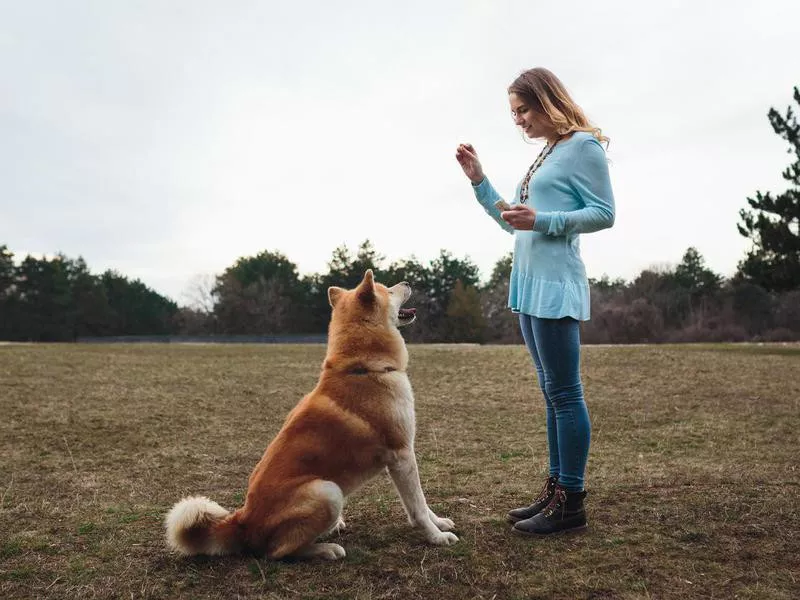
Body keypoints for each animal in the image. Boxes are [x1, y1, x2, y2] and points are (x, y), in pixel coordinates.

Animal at [166, 270, 460, 560]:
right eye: (387, 289)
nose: (408, 281)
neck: (363, 368)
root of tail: (243, 521)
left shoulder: (402, 458)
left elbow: (419, 503)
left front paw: (439, 522)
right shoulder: (401, 454)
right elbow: (418, 506)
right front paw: (436, 536)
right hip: (327, 491)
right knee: (278, 552)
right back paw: (325, 548)